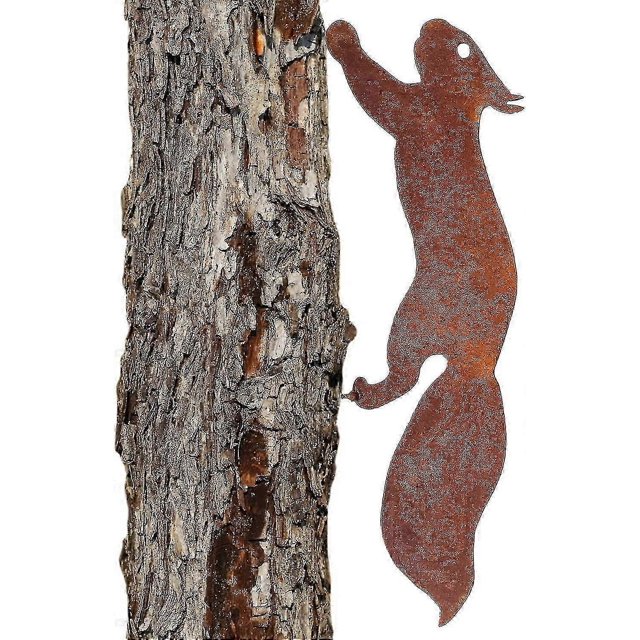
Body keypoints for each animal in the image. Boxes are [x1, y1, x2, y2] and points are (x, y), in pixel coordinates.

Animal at [327, 19, 522, 625]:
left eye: (461, 48)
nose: (430, 23)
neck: (459, 107)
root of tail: (478, 366)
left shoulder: (416, 113)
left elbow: (379, 93)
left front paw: (341, 38)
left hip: (411, 320)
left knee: (405, 377)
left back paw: (364, 391)